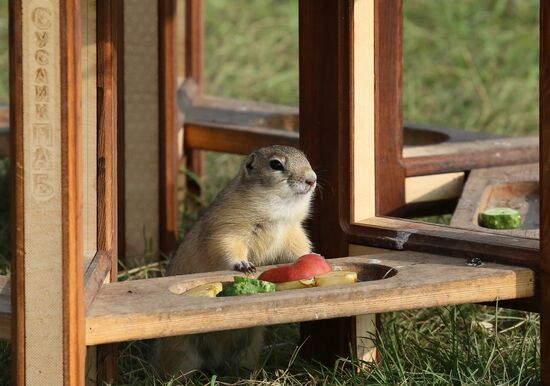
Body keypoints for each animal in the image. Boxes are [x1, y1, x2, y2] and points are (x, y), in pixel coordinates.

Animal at [157, 145, 316, 376]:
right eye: (275, 164)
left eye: (305, 157)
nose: (312, 179)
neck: (278, 214)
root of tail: (214, 362)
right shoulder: (228, 229)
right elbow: (229, 247)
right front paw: (243, 265)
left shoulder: (293, 232)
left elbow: (299, 248)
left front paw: (313, 257)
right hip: (181, 351)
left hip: (249, 346)